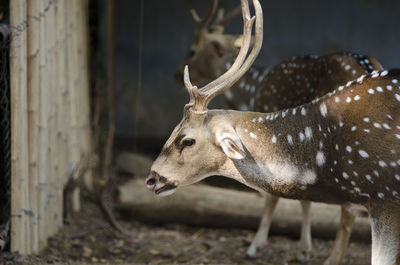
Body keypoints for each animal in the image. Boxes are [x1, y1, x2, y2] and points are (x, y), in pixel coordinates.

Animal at [148, 0, 400, 264]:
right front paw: (304, 248)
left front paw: (257, 246)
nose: (152, 177)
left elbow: (274, 198)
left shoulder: (385, 198)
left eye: (187, 140)